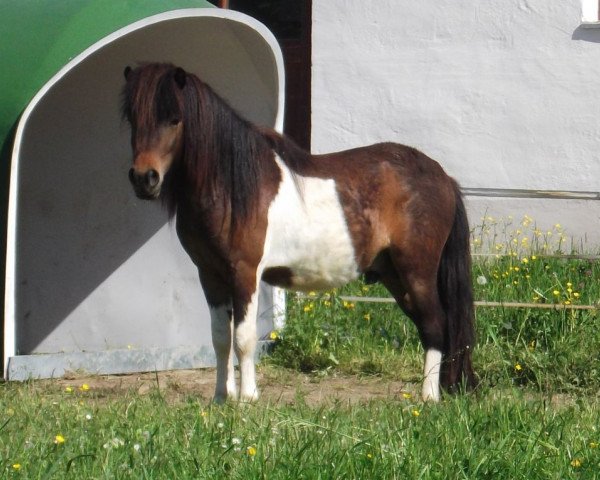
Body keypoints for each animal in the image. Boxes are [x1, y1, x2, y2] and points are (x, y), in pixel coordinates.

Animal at [122, 62, 478, 402]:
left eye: (174, 118)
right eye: (132, 119)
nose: (144, 178)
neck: (232, 186)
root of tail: (443, 177)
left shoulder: (245, 273)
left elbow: (244, 338)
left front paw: (247, 399)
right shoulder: (210, 275)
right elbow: (221, 339)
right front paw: (222, 399)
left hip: (417, 271)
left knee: (435, 325)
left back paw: (428, 398)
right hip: (394, 275)